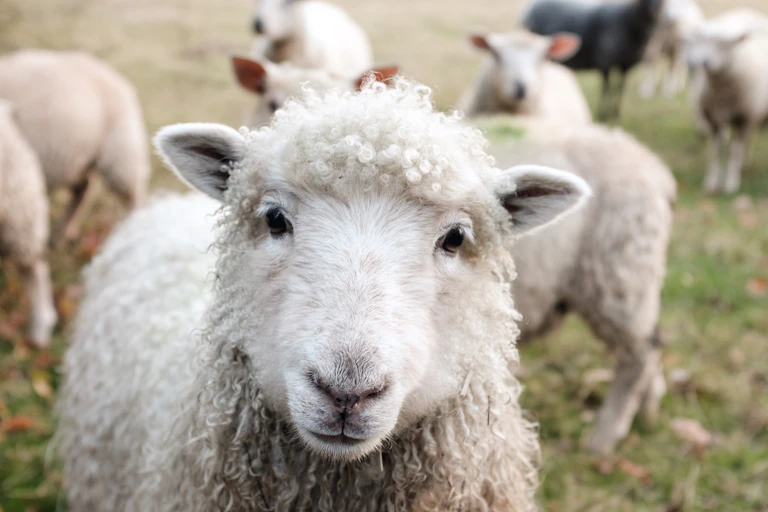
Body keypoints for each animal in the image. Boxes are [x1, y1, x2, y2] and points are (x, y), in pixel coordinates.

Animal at [523, 0, 663, 120]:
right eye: (644, 1)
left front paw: (615, 113)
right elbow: (606, 88)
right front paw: (603, 113)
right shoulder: (605, 62)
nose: (654, 9)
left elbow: (619, 88)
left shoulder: (625, 65)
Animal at [685, 9, 768, 194]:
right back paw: (745, 164)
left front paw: (731, 183)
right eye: (703, 41)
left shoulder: (743, 119)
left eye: (725, 44)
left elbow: (735, 152)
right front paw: (712, 182)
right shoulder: (713, 120)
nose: (704, 62)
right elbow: (716, 152)